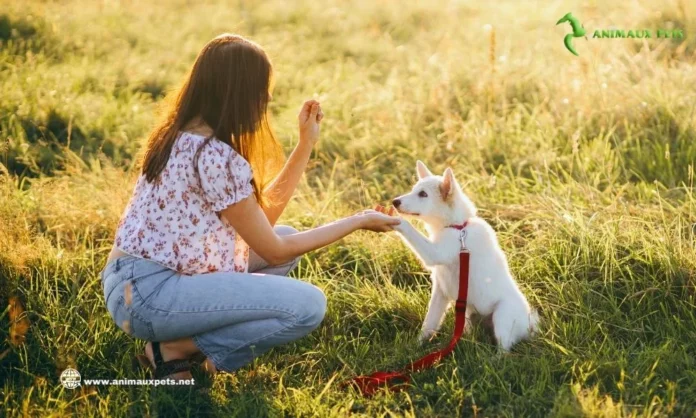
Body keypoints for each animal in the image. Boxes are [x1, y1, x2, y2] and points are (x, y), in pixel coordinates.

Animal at [392, 162, 540, 352]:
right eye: (413, 190)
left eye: (423, 194)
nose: (394, 202)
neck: (458, 227)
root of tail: (529, 326)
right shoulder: (440, 292)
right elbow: (429, 323)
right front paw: (416, 346)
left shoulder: (435, 253)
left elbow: (410, 229)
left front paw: (389, 218)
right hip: (469, 315)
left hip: (502, 317)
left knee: (505, 349)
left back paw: (496, 357)